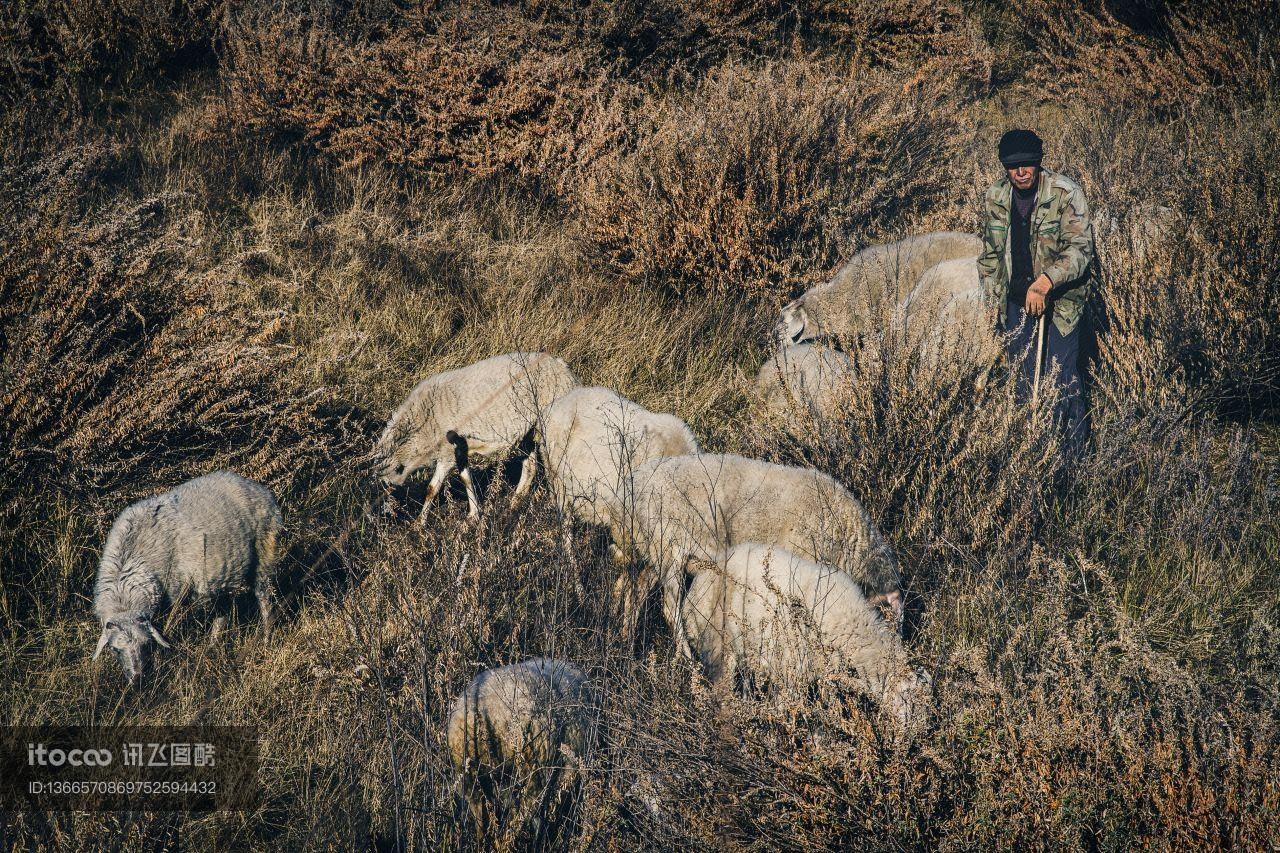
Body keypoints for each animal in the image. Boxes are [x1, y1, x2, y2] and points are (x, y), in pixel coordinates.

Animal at [93, 468, 285, 681]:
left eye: (146, 644)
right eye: (115, 649)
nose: (137, 677)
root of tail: (255, 486)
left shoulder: (175, 596)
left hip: (264, 549)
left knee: (264, 597)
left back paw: (266, 638)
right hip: (223, 575)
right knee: (223, 611)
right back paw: (212, 646)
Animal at [373, 350, 576, 517]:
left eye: (390, 487)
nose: (388, 513)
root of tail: (564, 368)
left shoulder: (447, 453)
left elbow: (432, 488)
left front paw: (420, 524)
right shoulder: (459, 448)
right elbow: (466, 479)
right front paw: (474, 515)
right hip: (528, 431)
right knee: (530, 467)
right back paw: (514, 503)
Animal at [614, 450, 906, 650]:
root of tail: (633, 484)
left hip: (653, 550)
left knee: (637, 589)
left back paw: (626, 639)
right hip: (667, 547)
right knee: (670, 608)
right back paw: (686, 659)